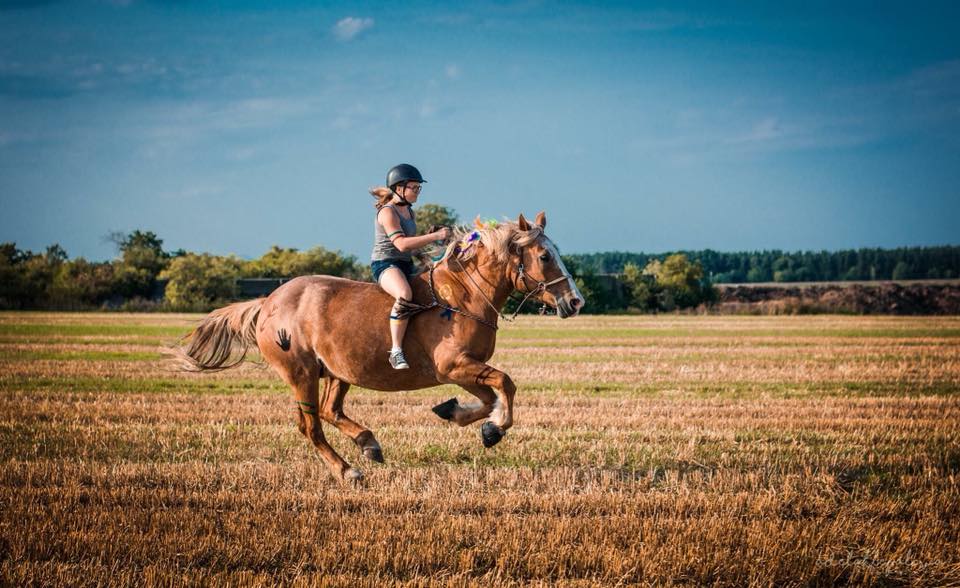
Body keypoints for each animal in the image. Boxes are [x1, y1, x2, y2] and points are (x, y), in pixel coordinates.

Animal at [178, 211, 584, 482]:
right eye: (545, 256)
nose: (575, 302)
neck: (464, 297)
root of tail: (268, 303)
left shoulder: (463, 371)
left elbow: (488, 398)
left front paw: (462, 416)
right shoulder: (453, 366)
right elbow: (506, 384)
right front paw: (496, 429)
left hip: (337, 370)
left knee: (329, 410)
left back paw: (368, 442)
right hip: (301, 373)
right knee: (311, 425)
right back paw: (348, 471)